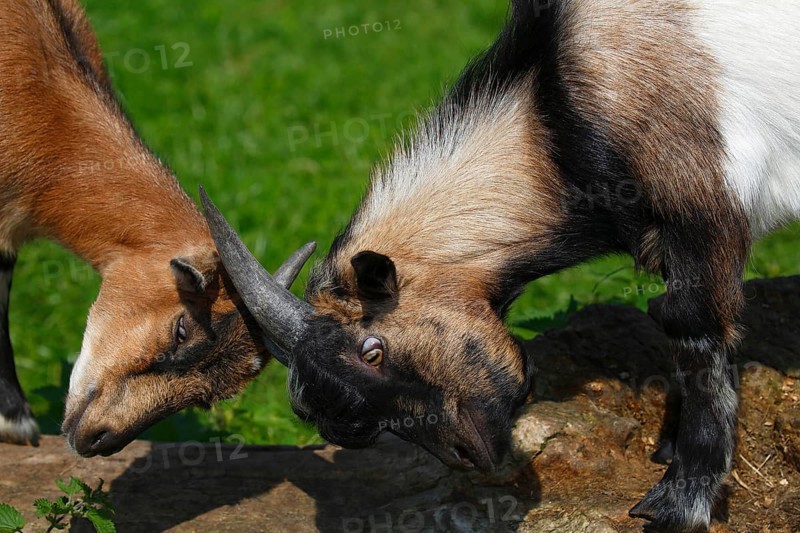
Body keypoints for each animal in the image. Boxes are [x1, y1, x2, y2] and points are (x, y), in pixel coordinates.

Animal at [203, 0, 800, 530]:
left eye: (372, 351)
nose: (469, 455)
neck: (552, 119)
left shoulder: (702, 210)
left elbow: (692, 331)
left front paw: (681, 502)